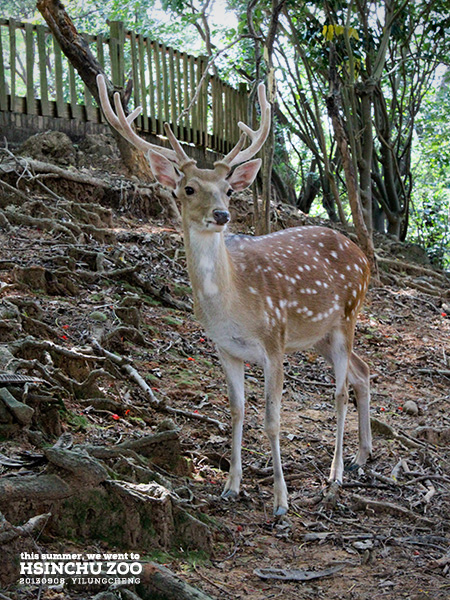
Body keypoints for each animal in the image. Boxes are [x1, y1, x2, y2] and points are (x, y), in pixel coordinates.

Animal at [97, 74, 372, 516]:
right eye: (189, 188)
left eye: (227, 188)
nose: (222, 215)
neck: (232, 305)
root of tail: (362, 254)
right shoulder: (225, 348)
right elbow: (237, 411)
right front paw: (231, 485)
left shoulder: (274, 341)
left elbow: (272, 420)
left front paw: (280, 501)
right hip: (317, 335)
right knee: (363, 372)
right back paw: (361, 458)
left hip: (347, 314)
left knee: (341, 391)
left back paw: (334, 476)